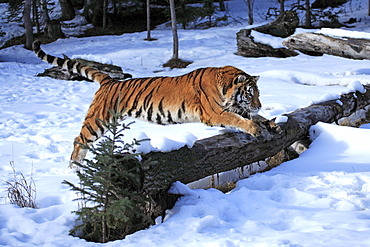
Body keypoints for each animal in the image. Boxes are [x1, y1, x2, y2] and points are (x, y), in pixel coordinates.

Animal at [33, 41, 268, 168]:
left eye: (258, 93)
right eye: (250, 94)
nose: (259, 105)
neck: (225, 87)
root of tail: (110, 81)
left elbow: (248, 117)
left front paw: (267, 124)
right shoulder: (215, 113)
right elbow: (238, 120)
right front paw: (255, 129)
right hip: (98, 120)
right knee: (79, 140)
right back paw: (75, 168)